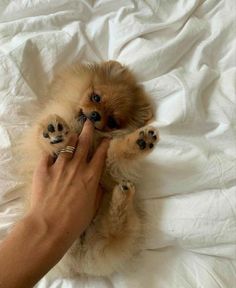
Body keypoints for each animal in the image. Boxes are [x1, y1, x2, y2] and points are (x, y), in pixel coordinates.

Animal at [19, 60, 159, 276]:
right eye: (96, 97)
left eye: (112, 121)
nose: (94, 115)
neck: (81, 131)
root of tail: (81, 258)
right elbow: (42, 139)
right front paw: (54, 132)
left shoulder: (107, 164)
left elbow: (117, 151)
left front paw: (139, 141)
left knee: (116, 229)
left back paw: (124, 192)